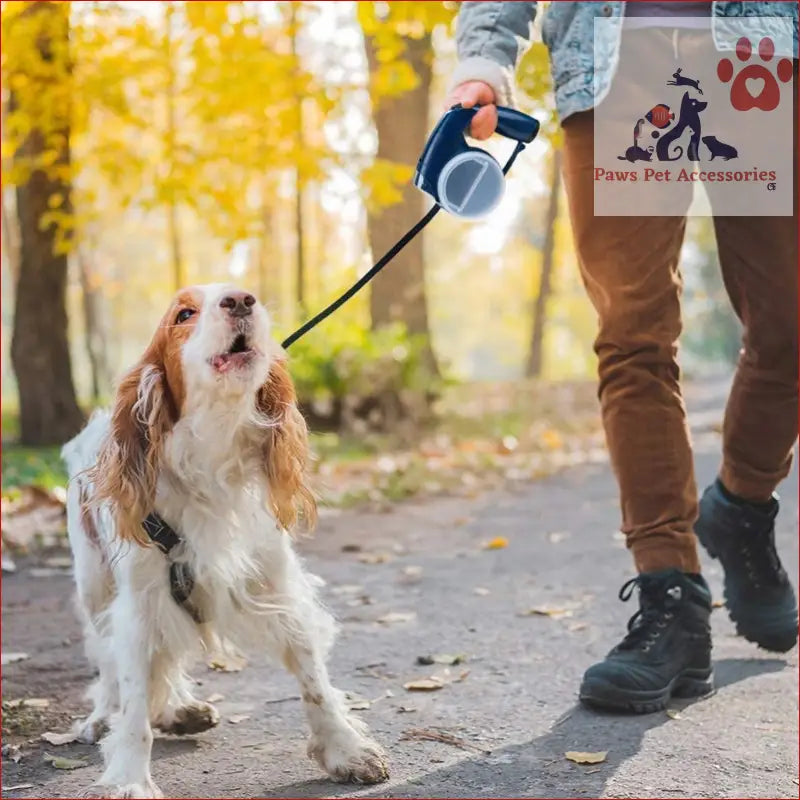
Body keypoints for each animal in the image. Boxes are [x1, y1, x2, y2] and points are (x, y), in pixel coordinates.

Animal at [61, 284, 390, 796]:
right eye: (184, 314)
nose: (240, 300)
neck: (211, 454)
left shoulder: (277, 585)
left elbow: (314, 679)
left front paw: (345, 748)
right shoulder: (139, 603)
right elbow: (133, 703)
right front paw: (129, 778)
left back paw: (179, 708)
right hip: (94, 586)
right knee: (108, 663)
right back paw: (103, 717)